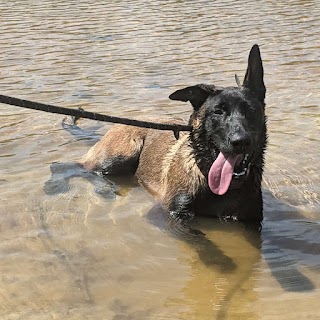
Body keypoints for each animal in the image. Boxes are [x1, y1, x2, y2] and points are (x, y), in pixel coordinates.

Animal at [46, 44, 266, 225]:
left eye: (252, 111)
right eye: (218, 112)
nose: (240, 141)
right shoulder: (168, 216)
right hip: (119, 157)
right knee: (67, 165)